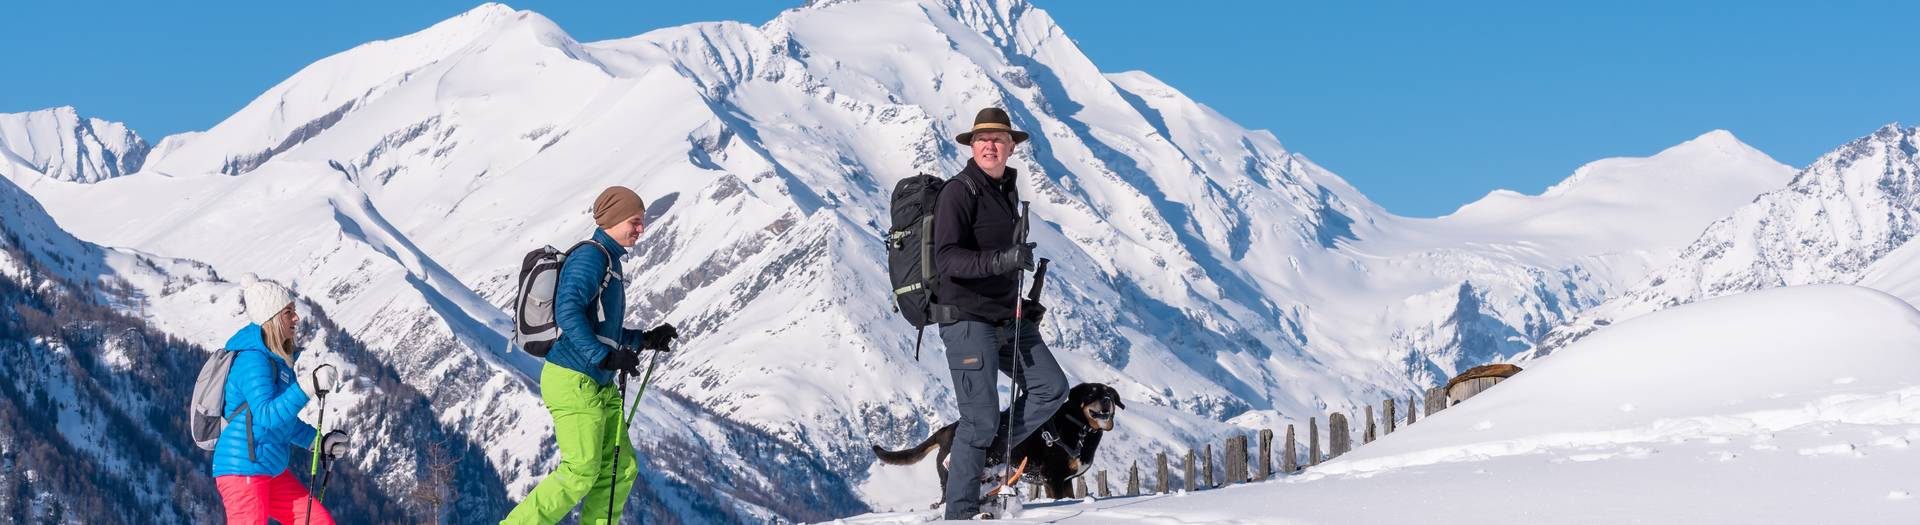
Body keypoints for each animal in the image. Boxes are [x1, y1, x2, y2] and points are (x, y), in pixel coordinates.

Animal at [875, 382, 1121, 500]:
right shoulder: (1053, 478)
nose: (1107, 400)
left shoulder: (1066, 481)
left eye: (1109, 393)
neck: (1081, 429)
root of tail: (947, 430)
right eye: (1091, 394)